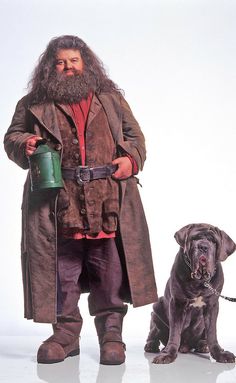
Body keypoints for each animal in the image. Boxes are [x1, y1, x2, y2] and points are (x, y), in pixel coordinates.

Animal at [144, 224, 236, 364]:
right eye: (194, 238)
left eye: (214, 241)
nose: (203, 246)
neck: (199, 281)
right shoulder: (177, 303)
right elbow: (174, 333)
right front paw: (168, 354)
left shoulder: (212, 306)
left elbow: (212, 333)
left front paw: (220, 354)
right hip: (156, 308)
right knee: (153, 331)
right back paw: (151, 345)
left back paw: (203, 345)